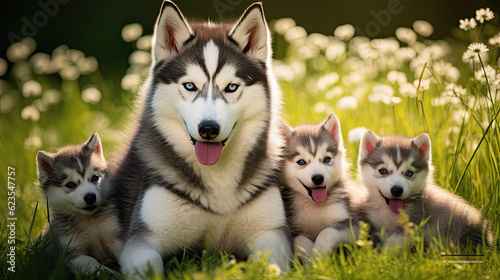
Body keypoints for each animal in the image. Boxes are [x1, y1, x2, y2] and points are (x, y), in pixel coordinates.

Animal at [36, 133, 121, 274]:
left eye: (94, 178)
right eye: (70, 185)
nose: (90, 197)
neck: (89, 221)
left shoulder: (113, 235)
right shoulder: (68, 253)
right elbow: (91, 262)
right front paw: (109, 273)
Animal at [107, 0, 292, 276]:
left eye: (232, 87)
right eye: (190, 86)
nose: (208, 129)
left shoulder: (270, 233)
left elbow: (274, 267)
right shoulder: (143, 238)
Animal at [280, 114, 358, 260]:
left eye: (326, 159)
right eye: (301, 162)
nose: (318, 178)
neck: (314, 206)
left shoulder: (355, 222)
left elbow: (327, 232)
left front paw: (317, 256)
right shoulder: (292, 228)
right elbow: (300, 240)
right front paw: (311, 260)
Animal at [358, 129, 494, 247]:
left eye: (409, 173)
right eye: (383, 171)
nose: (397, 190)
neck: (389, 212)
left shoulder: (413, 219)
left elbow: (394, 242)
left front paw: (385, 254)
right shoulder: (374, 223)